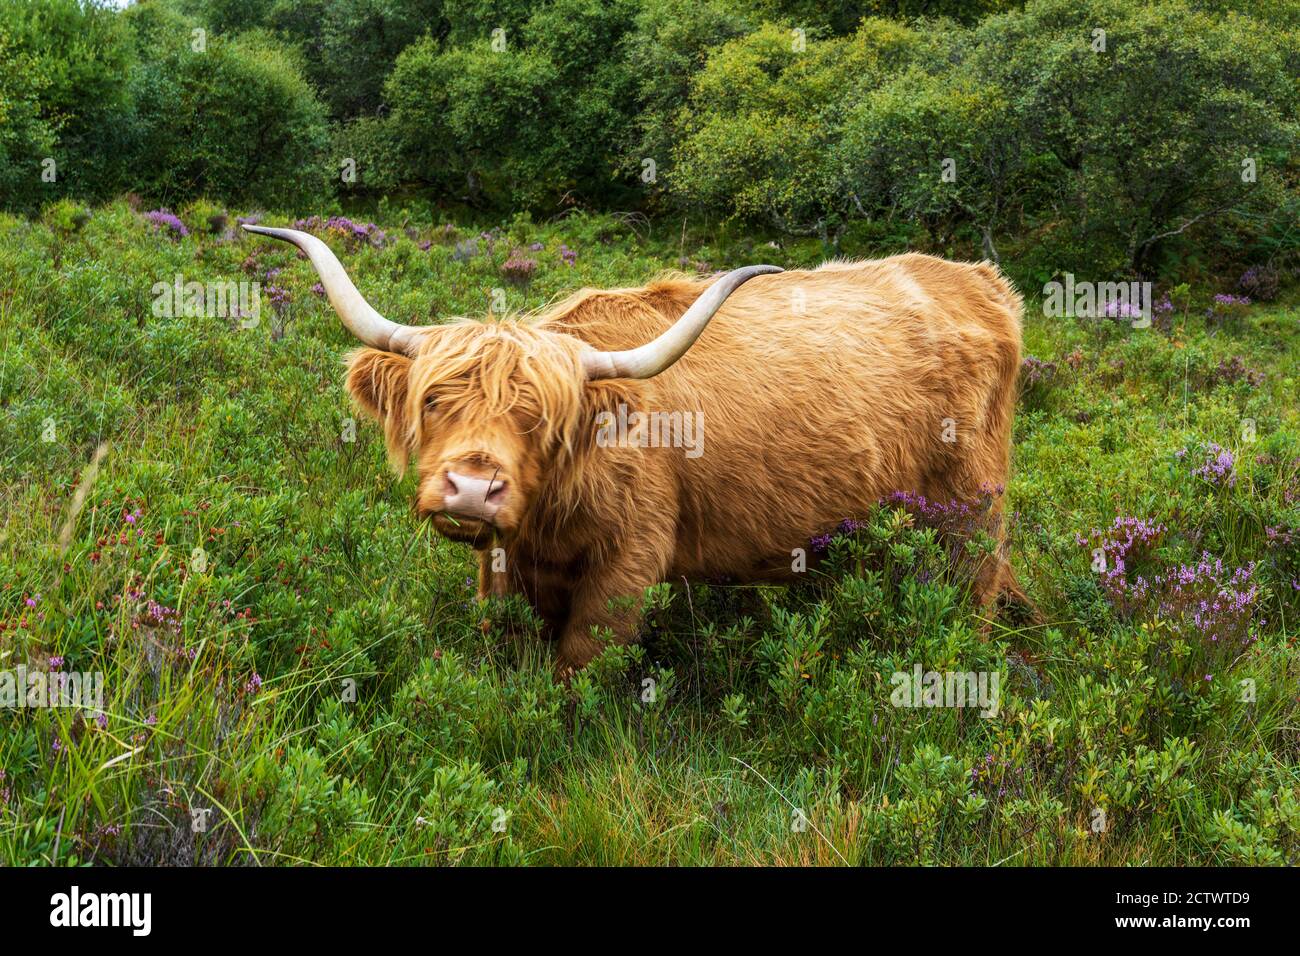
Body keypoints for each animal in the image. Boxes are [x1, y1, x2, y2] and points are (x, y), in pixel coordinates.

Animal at [244, 224, 1028, 673]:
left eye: (541, 419)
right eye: (433, 401)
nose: (471, 489)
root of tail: (978, 280)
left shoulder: (630, 559)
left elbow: (580, 664)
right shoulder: (507, 567)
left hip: (970, 507)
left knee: (976, 587)